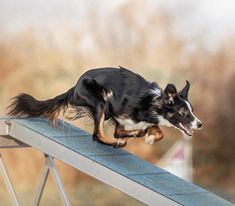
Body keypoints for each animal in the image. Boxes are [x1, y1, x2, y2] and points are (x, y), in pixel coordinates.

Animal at [7, 67, 202, 147]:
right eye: (183, 111)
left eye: (192, 110)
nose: (200, 124)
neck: (151, 102)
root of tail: (75, 86)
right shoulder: (116, 110)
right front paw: (147, 136)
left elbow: (157, 131)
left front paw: (149, 136)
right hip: (101, 101)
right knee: (97, 134)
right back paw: (117, 142)